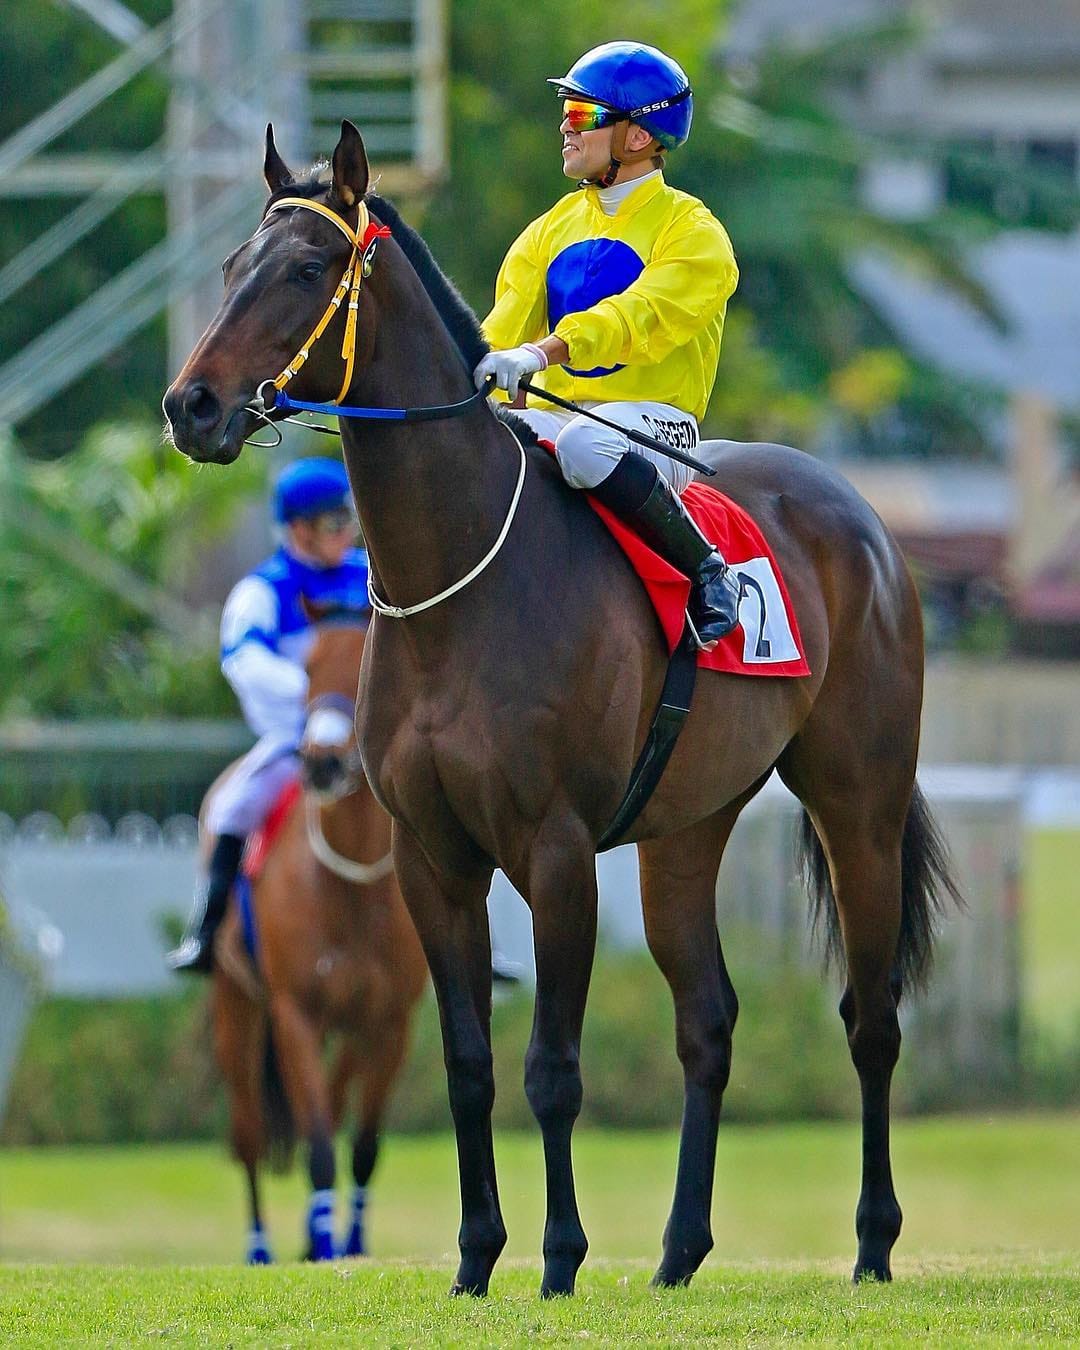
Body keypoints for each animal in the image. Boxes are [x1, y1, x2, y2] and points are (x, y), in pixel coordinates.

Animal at [208, 609, 427, 1263]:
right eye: (306, 670)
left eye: (365, 662)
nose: (323, 762)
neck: (350, 888)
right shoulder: (295, 1014)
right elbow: (320, 1145)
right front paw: (326, 1246)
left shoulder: (391, 1022)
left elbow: (363, 1146)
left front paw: (347, 1242)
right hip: (237, 1005)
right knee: (250, 1134)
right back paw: (260, 1249)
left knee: (329, 1099)